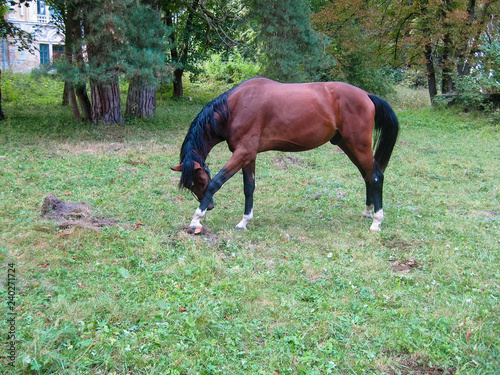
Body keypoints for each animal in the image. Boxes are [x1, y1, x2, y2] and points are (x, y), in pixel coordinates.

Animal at [172, 77, 398, 232]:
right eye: (190, 185)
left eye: (200, 180)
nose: (209, 207)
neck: (235, 107)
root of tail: (366, 95)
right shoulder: (249, 155)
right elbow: (249, 188)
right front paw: (244, 221)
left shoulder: (242, 153)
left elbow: (217, 182)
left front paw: (196, 219)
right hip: (348, 145)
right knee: (368, 175)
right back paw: (368, 212)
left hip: (358, 145)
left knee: (375, 177)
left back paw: (376, 222)